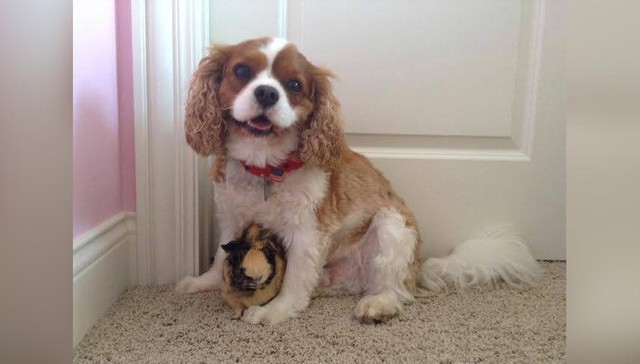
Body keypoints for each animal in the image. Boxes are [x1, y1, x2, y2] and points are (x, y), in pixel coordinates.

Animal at [175, 37, 540, 324]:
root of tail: (416, 268)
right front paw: (203, 282)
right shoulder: (231, 217)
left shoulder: (307, 232)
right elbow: (221, 255)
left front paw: (274, 310)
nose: (267, 93)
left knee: (395, 290)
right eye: (241, 72)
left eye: (294, 85)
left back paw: (379, 304)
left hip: (392, 227)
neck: (266, 166)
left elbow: (293, 278)